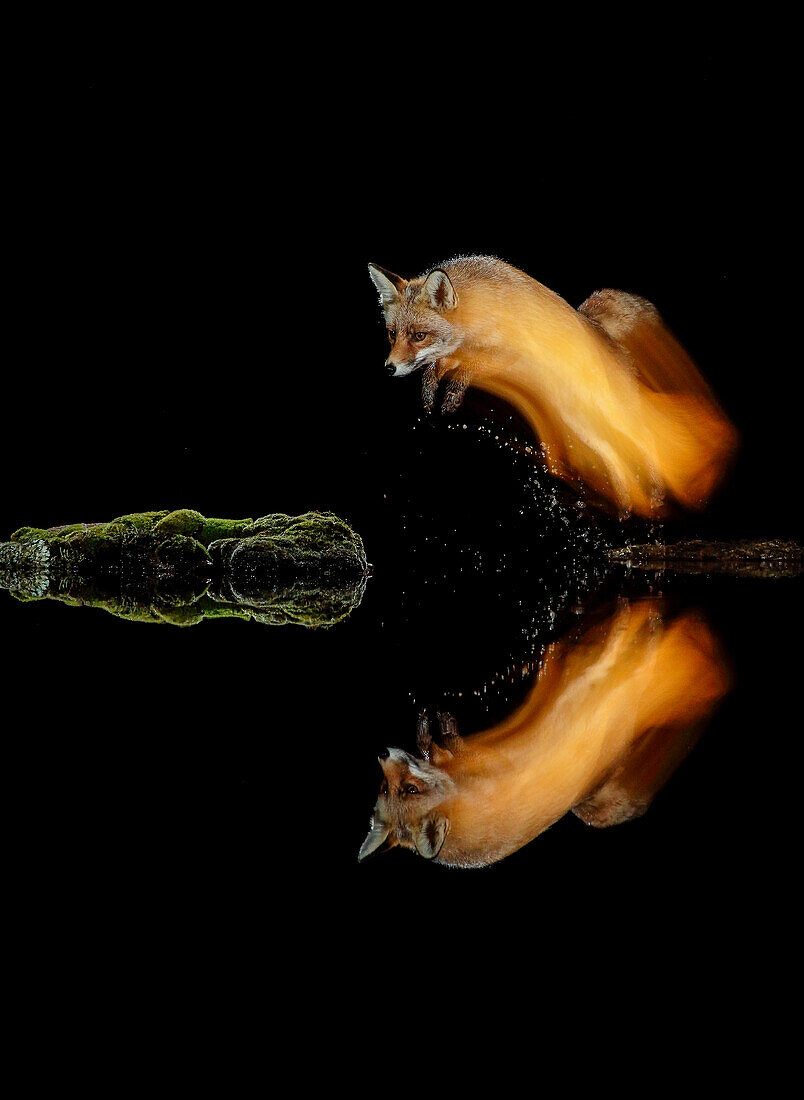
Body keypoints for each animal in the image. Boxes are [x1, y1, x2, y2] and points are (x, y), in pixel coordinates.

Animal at [367, 255, 739, 517]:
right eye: (392, 334)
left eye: (419, 335)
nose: (389, 368)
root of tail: (597, 328)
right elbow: (439, 366)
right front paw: (431, 391)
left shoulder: (508, 355)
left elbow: (465, 368)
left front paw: (452, 394)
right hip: (580, 422)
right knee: (612, 455)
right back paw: (624, 503)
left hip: (608, 412)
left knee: (646, 439)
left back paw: (656, 493)